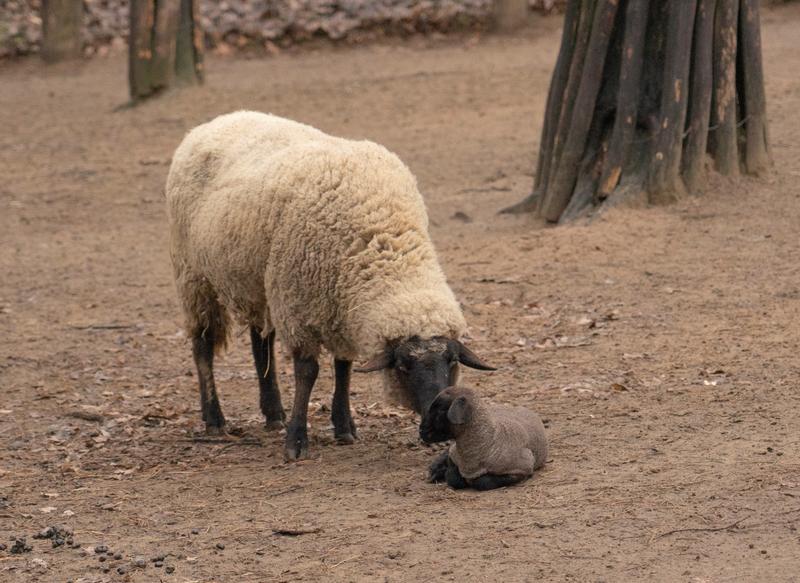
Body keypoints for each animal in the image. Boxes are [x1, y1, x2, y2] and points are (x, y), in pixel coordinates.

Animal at [164, 112, 494, 460]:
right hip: (193, 275)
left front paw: (344, 426)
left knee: (260, 341)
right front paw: (297, 440)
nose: (440, 418)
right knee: (202, 344)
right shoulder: (298, 304)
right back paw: (215, 419)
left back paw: (273, 413)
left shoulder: (340, 304)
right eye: (404, 365)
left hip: (256, 279)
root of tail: (215, 122)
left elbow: (344, 367)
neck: (385, 237)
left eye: (452, 361)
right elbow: (307, 371)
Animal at [418, 388, 552, 492]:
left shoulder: (522, 469)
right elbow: (452, 477)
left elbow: (482, 482)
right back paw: (435, 470)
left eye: (441, 410)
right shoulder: (454, 454)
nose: (421, 431)